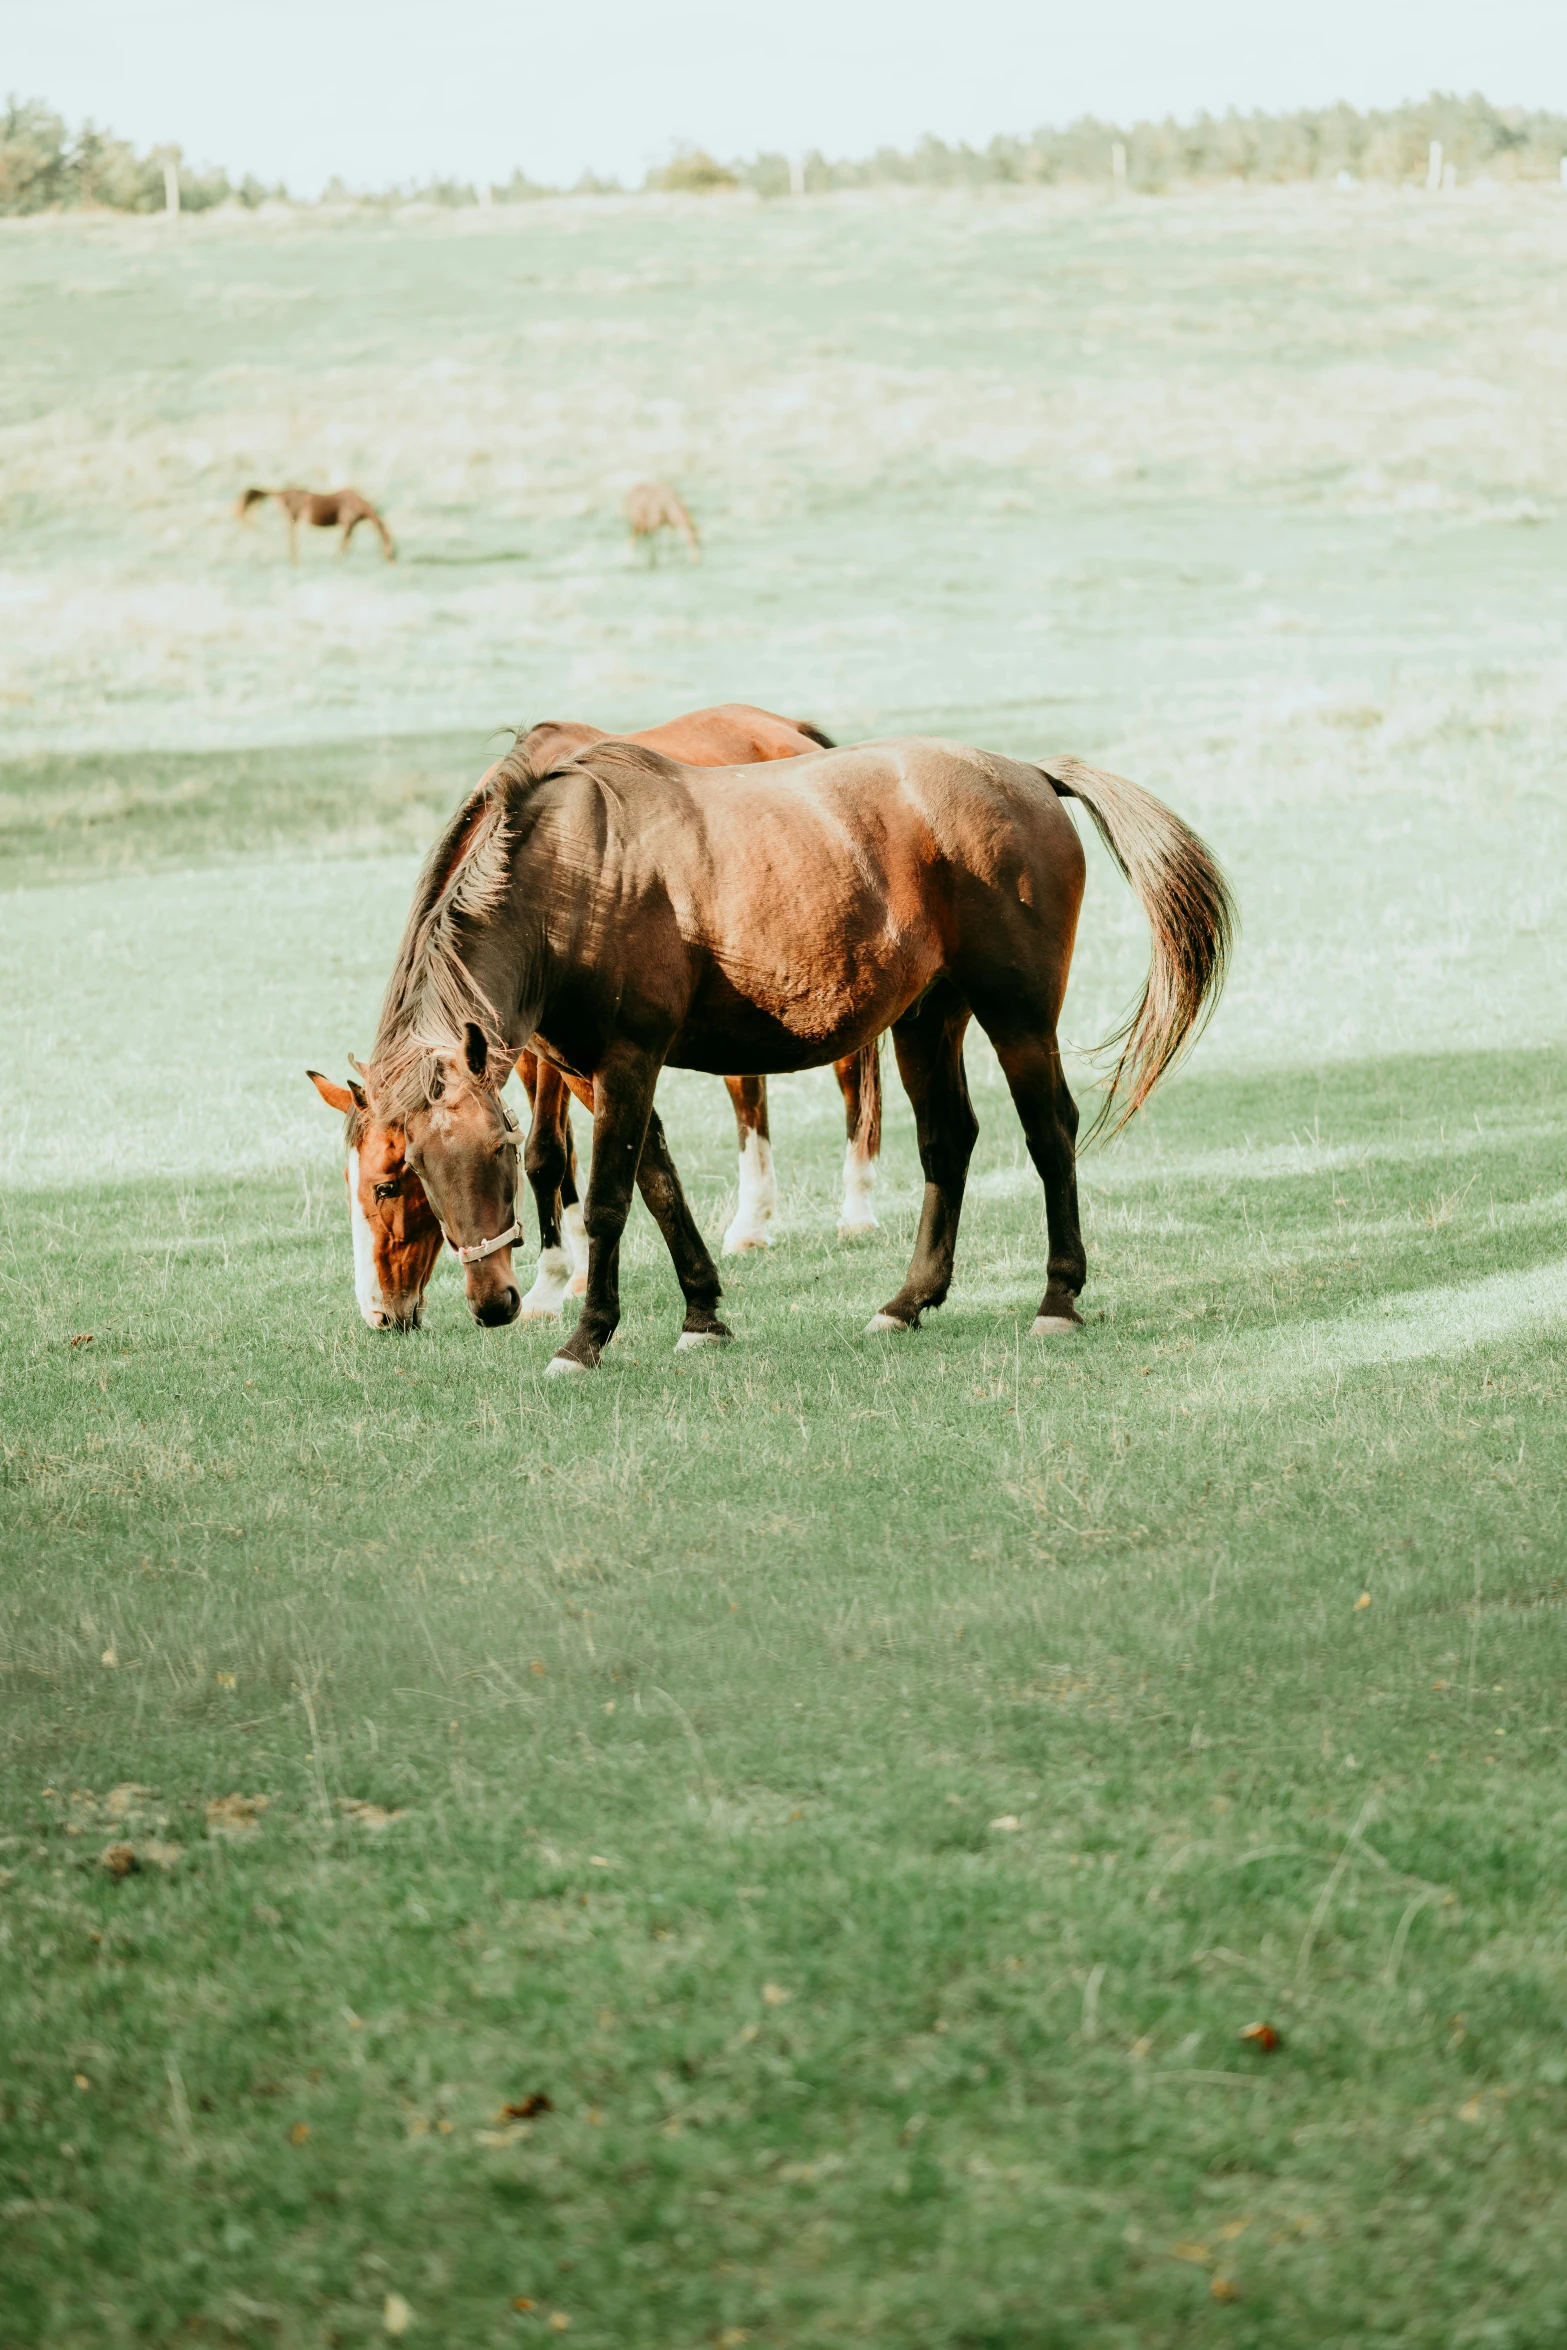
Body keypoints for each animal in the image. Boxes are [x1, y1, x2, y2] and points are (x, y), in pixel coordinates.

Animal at [240, 484, 399, 561]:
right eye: (392, 550)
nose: (393, 562)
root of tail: (280, 493)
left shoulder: (351, 526)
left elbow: (346, 545)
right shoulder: (347, 524)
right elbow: (344, 545)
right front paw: (337, 562)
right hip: (293, 519)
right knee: (292, 542)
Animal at [310, 695, 883, 1334]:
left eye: (388, 1184)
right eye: (403, 1169)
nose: (381, 1312)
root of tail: (788, 729)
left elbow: (548, 1155)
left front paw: (558, 1281)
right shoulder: (533, 1050)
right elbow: (570, 1157)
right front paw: (570, 1276)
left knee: (854, 1081)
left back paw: (858, 1208)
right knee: (747, 1092)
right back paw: (751, 1223)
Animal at [364, 728, 1240, 1363]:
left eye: (499, 1150)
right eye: (413, 1169)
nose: (492, 1303)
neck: (573, 875)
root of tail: (1026, 773)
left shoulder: (627, 1062)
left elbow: (611, 1201)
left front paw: (585, 1340)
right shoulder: (588, 1071)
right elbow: (660, 1185)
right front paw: (702, 1315)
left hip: (1016, 1016)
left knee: (1049, 1134)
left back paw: (1057, 1300)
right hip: (928, 1019)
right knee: (946, 1142)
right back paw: (907, 1302)